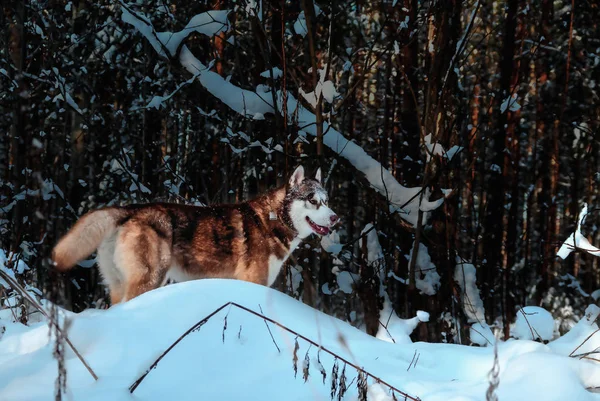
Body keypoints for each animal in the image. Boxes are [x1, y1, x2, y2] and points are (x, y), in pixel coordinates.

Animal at [51, 166, 338, 304]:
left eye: (326, 200)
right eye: (312, 201)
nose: (336, 218)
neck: (271, 219)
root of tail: (129, 209)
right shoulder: (253, 281)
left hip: (118, 286)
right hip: (150, 279)